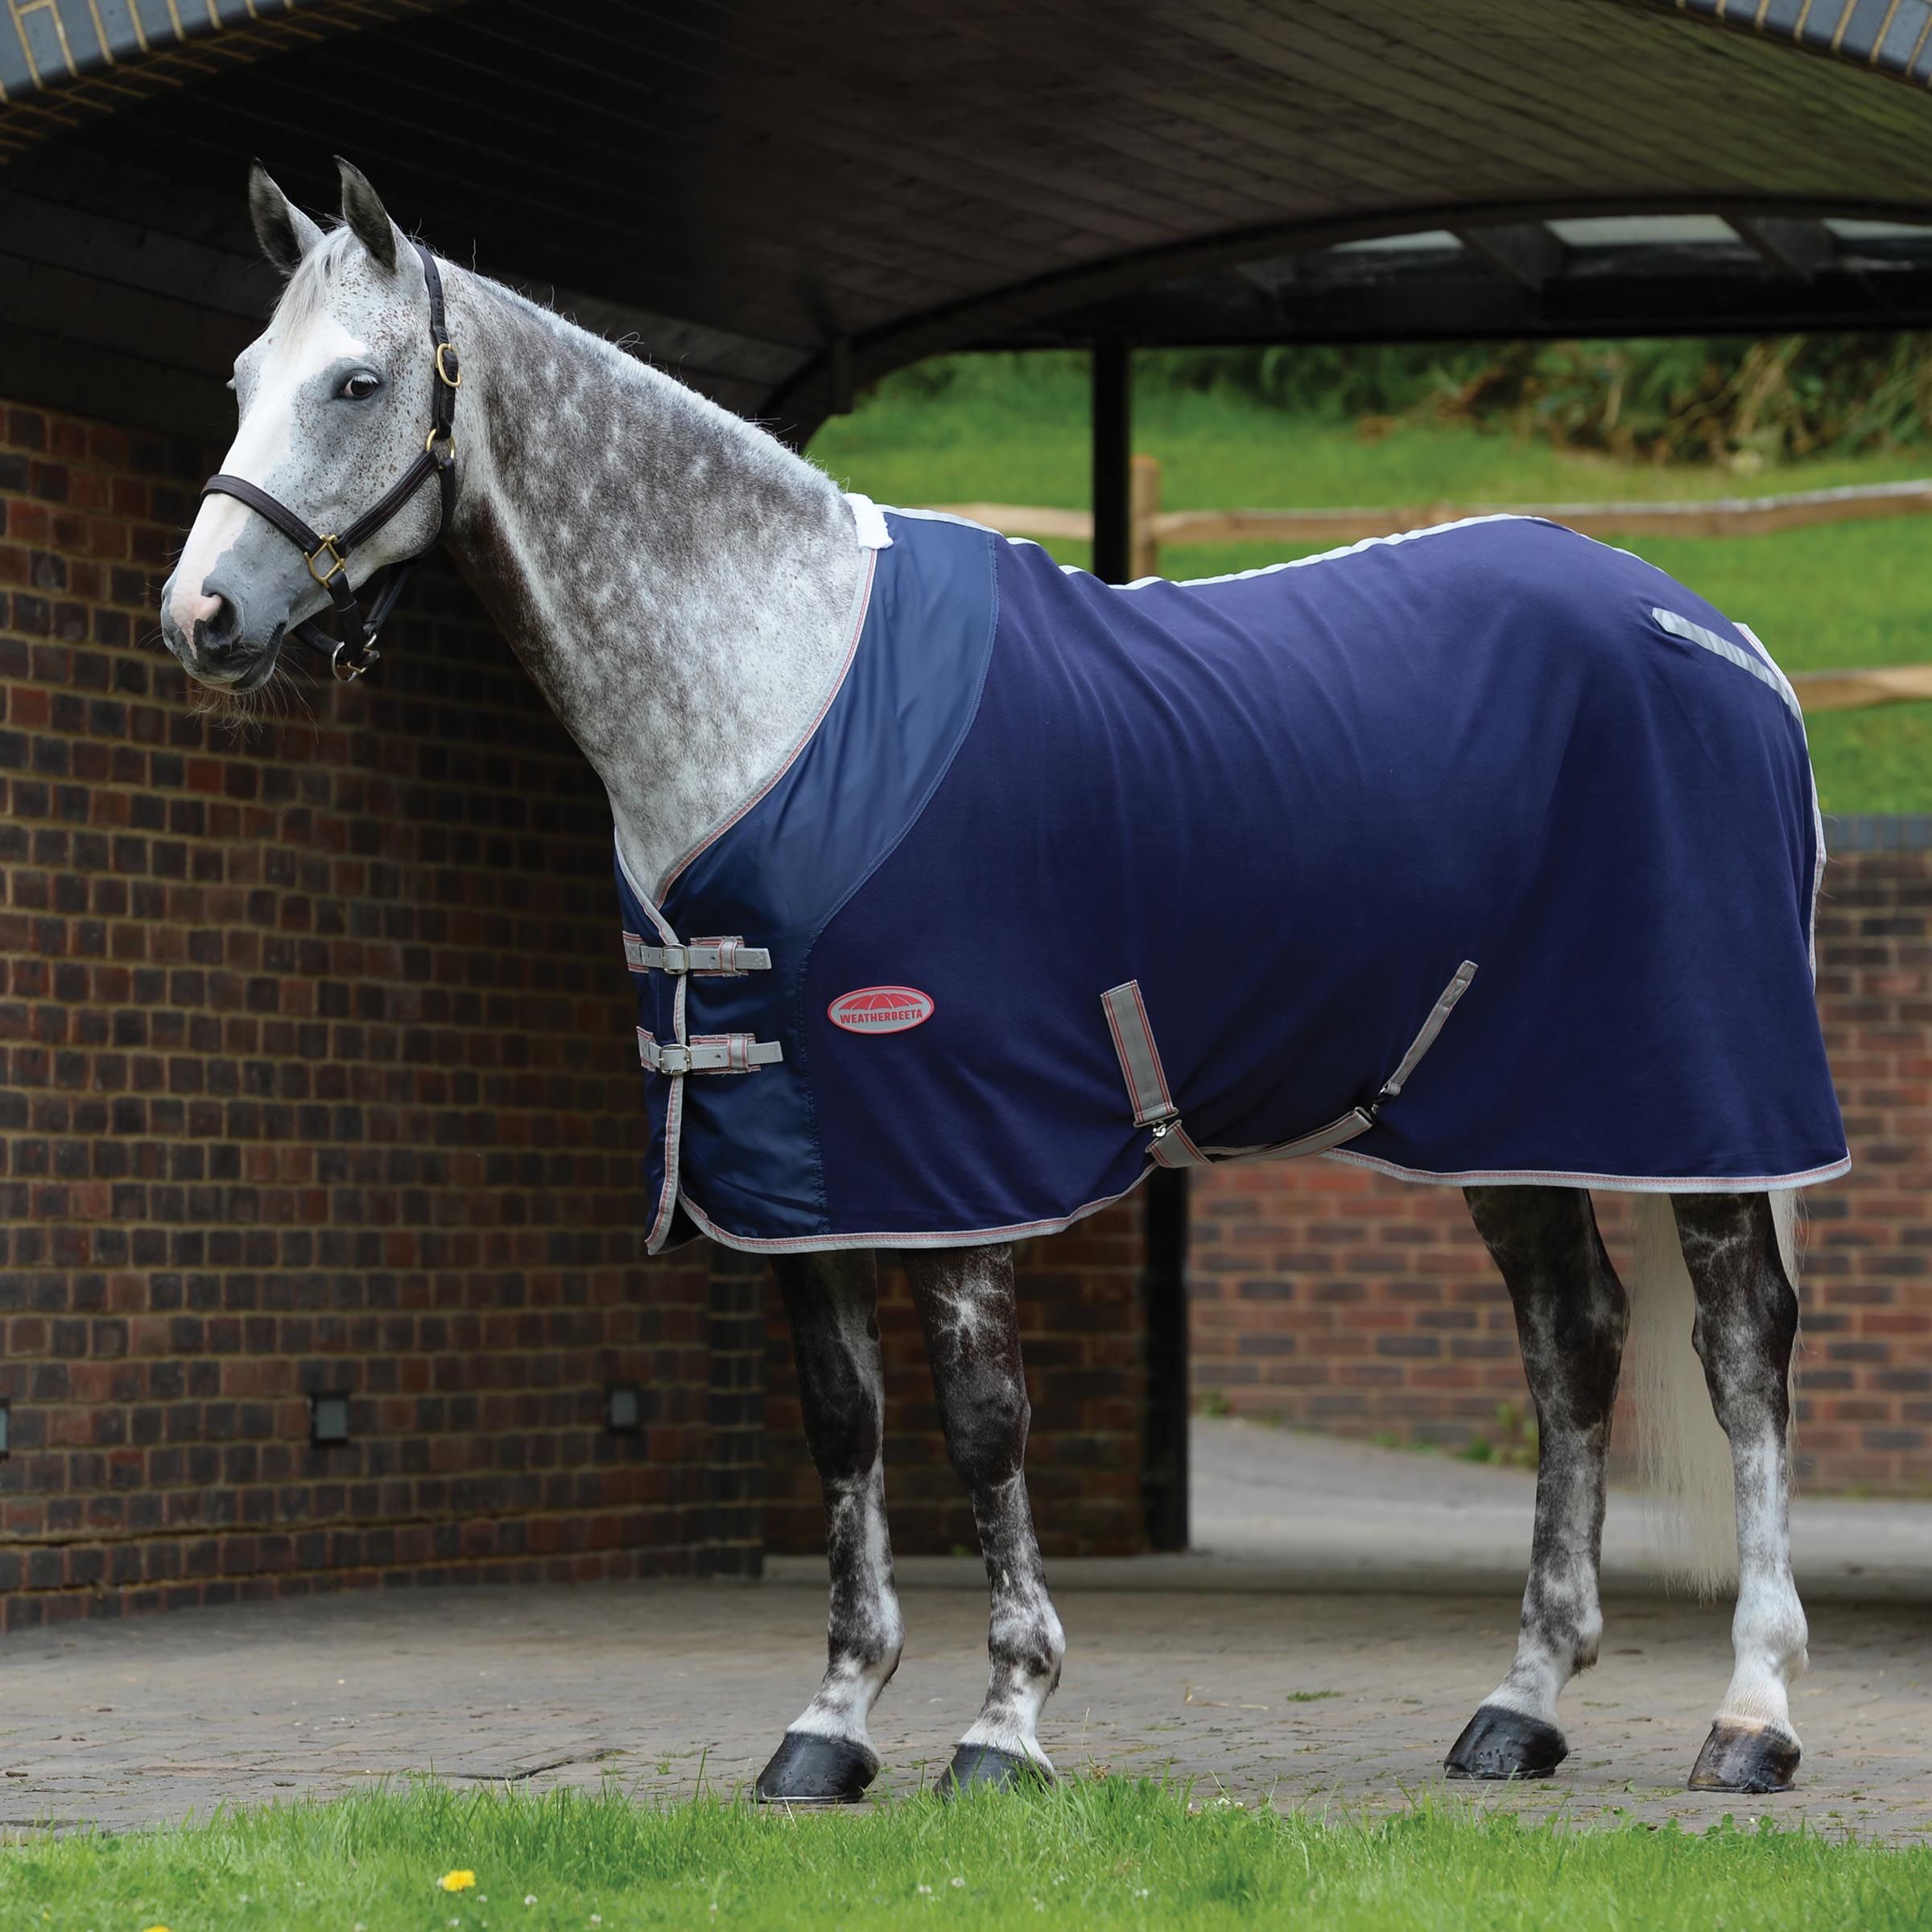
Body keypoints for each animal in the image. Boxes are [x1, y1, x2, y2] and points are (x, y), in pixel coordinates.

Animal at [155, 162, 1823, 1793]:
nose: (200, 616)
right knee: (1574, 1343)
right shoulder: (802, 1165)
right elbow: (844, 1426)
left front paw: (1006, 1721)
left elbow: (980, 1424)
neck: (777, 683)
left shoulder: (956, 1145)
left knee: (1740, 1355)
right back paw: (1519, 1707)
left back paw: (1751, 1716)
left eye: (359, 383)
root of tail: (1727, 639)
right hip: (1508, 1108)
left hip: (1704, 1106)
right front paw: (831, 1723)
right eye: (236, 381)